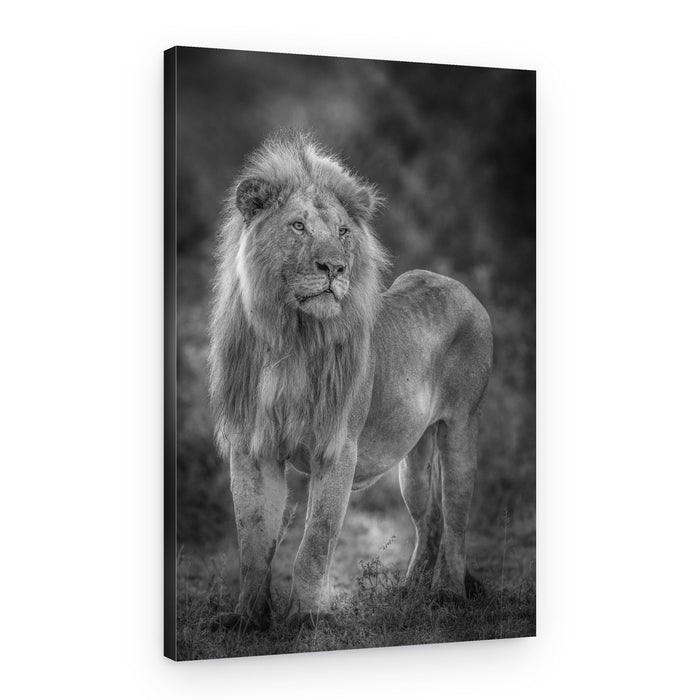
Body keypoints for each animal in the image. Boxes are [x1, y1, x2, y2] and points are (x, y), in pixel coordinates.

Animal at [209, 132, 493, 630]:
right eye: (298, 226)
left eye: (343, 232)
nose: (334, 268)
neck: (291, 338)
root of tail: (459, 287)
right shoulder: (252, 449)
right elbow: (253, 544)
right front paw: (247, 619)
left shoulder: (337, 448)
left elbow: (315, 542)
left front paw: (306, 619)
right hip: (412, 462)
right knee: (431, 520)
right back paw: (409, 593)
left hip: (461, 428)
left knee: (457, 521)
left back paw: (448, 595)